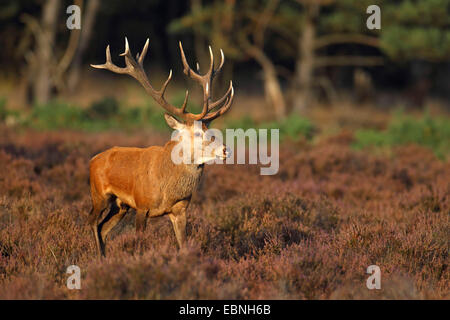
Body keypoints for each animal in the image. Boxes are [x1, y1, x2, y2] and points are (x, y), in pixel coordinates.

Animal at [89, 37, 236, 256]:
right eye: (198, 133)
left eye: (211, 129)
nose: (226, 150)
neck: (167, 189)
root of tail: (92, 160)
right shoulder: (141, 205)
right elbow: (139, 244)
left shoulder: (180, 210)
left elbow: (183, 244)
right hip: (99, 194)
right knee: (92, 222)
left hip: (120, 205)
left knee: (103, 228)